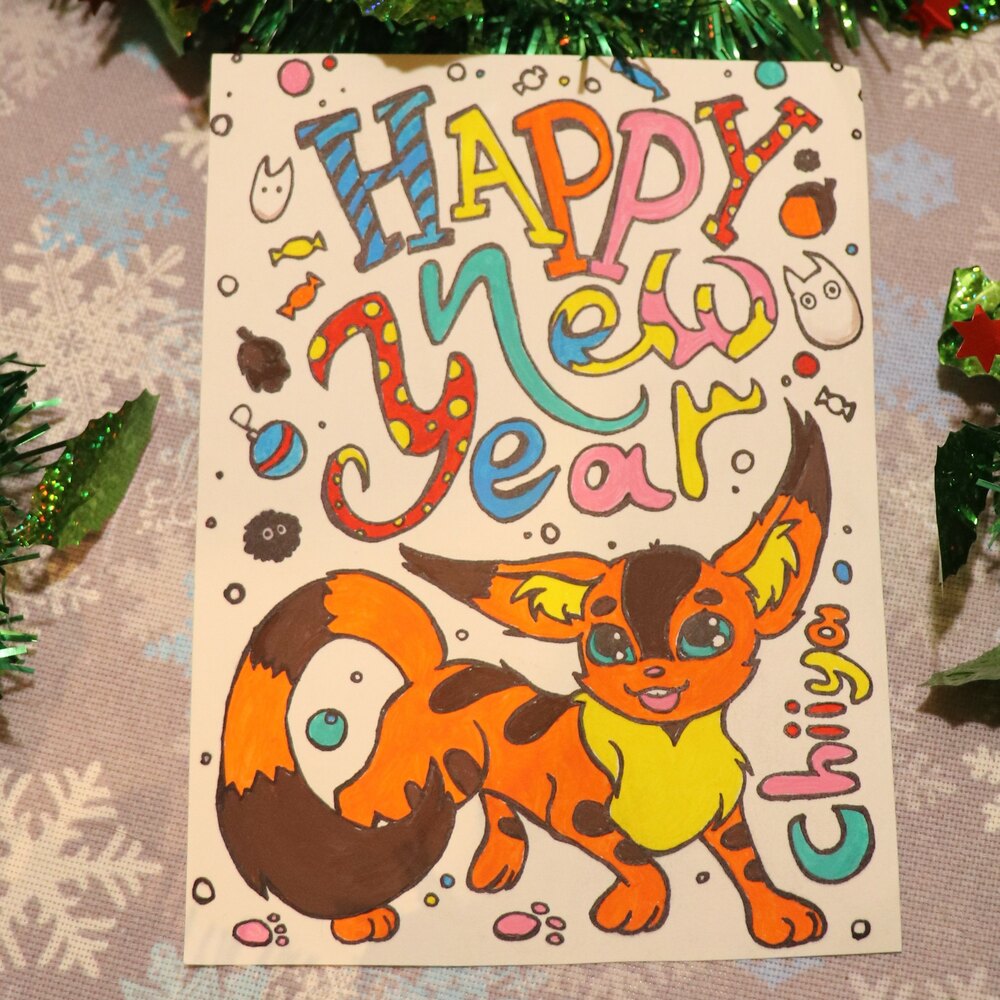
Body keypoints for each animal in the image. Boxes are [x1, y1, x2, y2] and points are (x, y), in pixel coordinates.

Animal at [217, 404, 830, 949]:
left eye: (708, 634)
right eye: (609, 644)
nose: (654, 671)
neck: (668, 747)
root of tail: (432, 671)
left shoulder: (725, 812)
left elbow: (748, 860)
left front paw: (778, 915)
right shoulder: (581, 814)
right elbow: (636, 857)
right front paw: (639, 903)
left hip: (464, 771)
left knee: (490, 795)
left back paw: (500, 855)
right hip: (407, 775)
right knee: (355, 797)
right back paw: (358, 913)